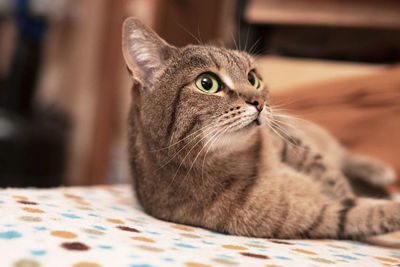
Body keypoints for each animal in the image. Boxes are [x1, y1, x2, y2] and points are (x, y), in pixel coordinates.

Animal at [121, 17, 396, 240]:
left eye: (252, 78)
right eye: (207, 83)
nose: (259, 102)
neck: (244, 159)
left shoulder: (291, 144)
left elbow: (331, 177)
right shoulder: (320, 216)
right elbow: (366, 212)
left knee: (343, 156)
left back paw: (378, 171)